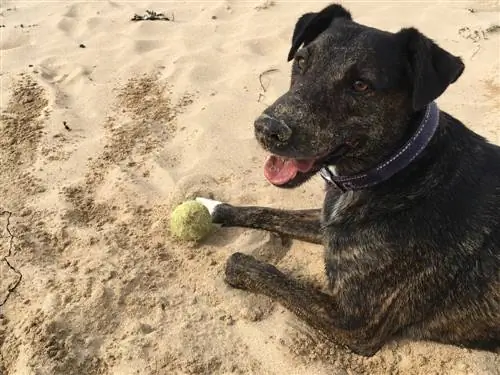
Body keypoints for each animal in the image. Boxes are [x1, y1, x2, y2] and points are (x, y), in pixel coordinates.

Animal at [206, 4, 496, 356]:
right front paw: (217, 208)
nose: (267, 129)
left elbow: (262, 272)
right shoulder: (328, 225)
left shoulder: (354, 323)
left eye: (361, 85)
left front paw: (238, 261)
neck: (397, 169)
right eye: (301, 61)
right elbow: (270, 212)